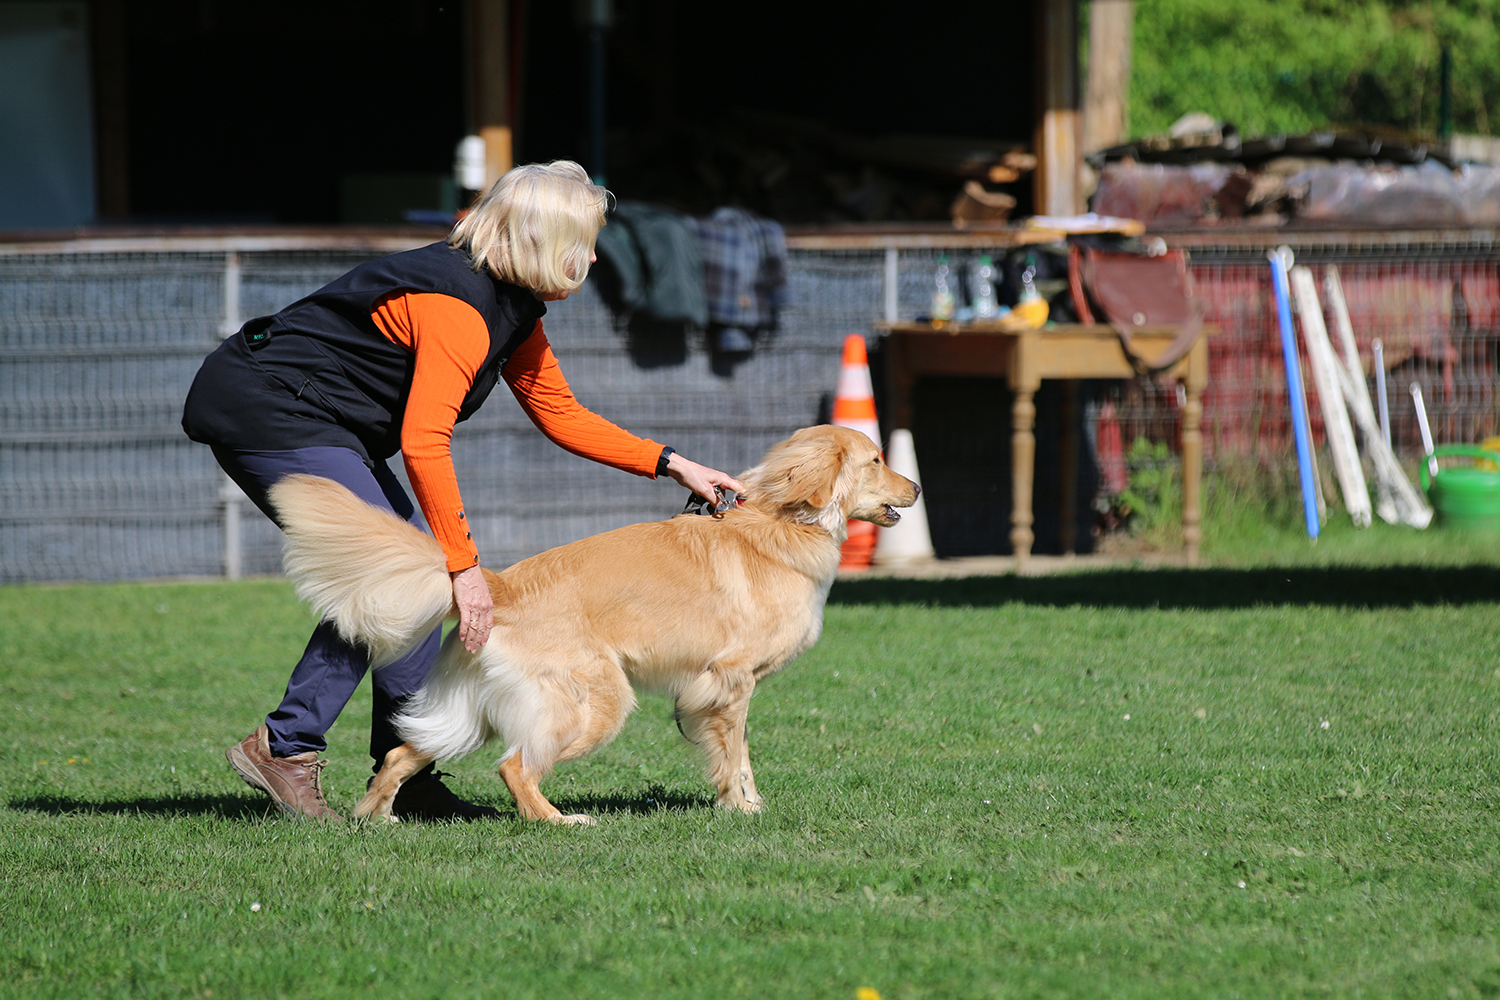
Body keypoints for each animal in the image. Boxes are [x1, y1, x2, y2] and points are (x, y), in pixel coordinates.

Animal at [267, 425, 918, 824]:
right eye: (877, 461)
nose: (915, 485)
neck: (787, 518)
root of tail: (498, 585)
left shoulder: (729, 689)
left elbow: (744, 755)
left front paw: (750, 807)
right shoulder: (729, 683)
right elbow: (734, 755)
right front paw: (739, 809)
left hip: (471, 712)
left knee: (403, 754)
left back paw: (375, 818)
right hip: (594, 703)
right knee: (514, 767)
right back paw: (560, 821)